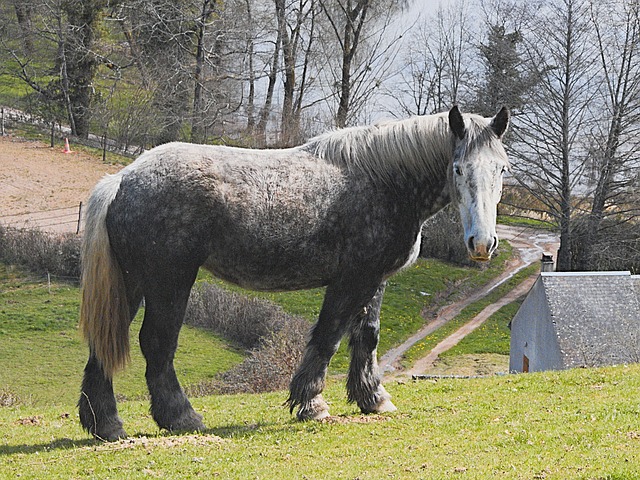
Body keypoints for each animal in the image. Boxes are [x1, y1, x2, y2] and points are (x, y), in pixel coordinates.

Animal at [79, 107, 510, 440]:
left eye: (502, 169)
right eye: (458, 168)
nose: (482, 244)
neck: (384, 181)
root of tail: (123, 179)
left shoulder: (375, 280)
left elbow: (367, 337)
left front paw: (373, 398)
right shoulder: (351, 280)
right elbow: (329, 337)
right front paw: (311, 403)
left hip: (133, 282)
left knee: (105, 342)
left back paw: (106, 425)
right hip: (170, 282)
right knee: (157, 344)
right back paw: (181, 417)